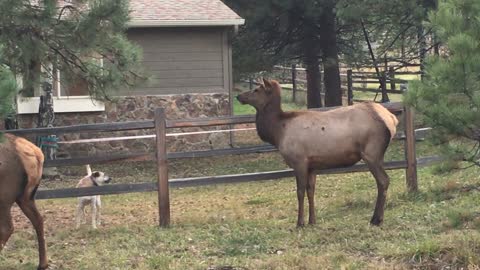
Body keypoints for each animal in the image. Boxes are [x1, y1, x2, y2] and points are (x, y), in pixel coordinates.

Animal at [236, 79, 398, 227]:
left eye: (256, 89)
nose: (238, 96)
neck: (277, 132)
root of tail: (392, 119)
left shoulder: (299, 161)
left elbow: (300, 191)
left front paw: (300, 222)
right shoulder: (312, 165)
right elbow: (311, 190)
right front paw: (312, 221)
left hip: (371, 153)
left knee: (383, 180)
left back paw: (376, 219)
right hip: (376, 155)